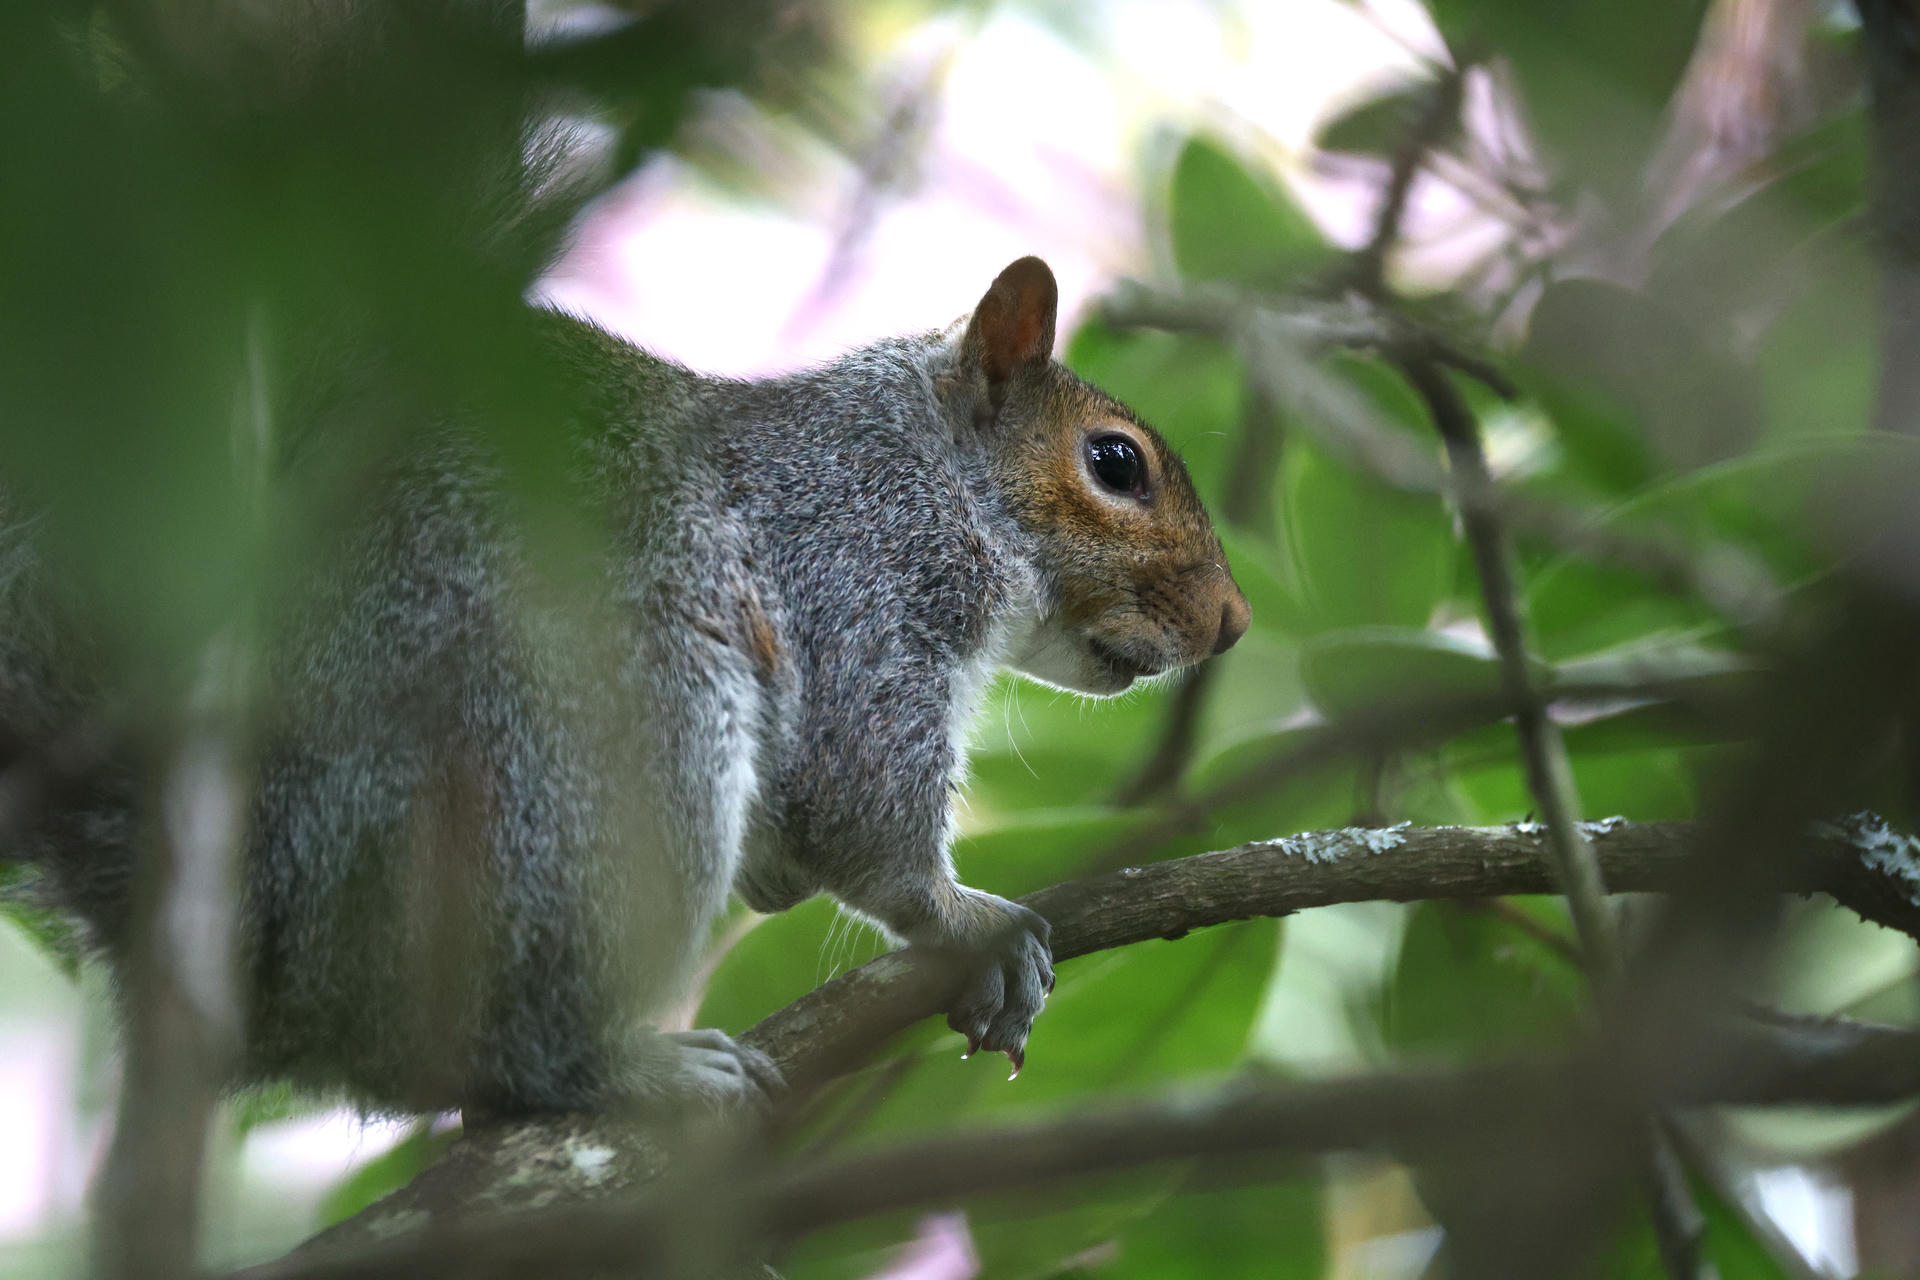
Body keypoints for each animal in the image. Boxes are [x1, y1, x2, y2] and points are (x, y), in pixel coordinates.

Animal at [0, 9, 1250, 1120]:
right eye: (1115, 463)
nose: (1233, 621)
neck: (929, 469)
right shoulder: (859, 578)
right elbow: (859, 797)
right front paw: (966, 920)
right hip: (601, 758)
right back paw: (624, 1071)